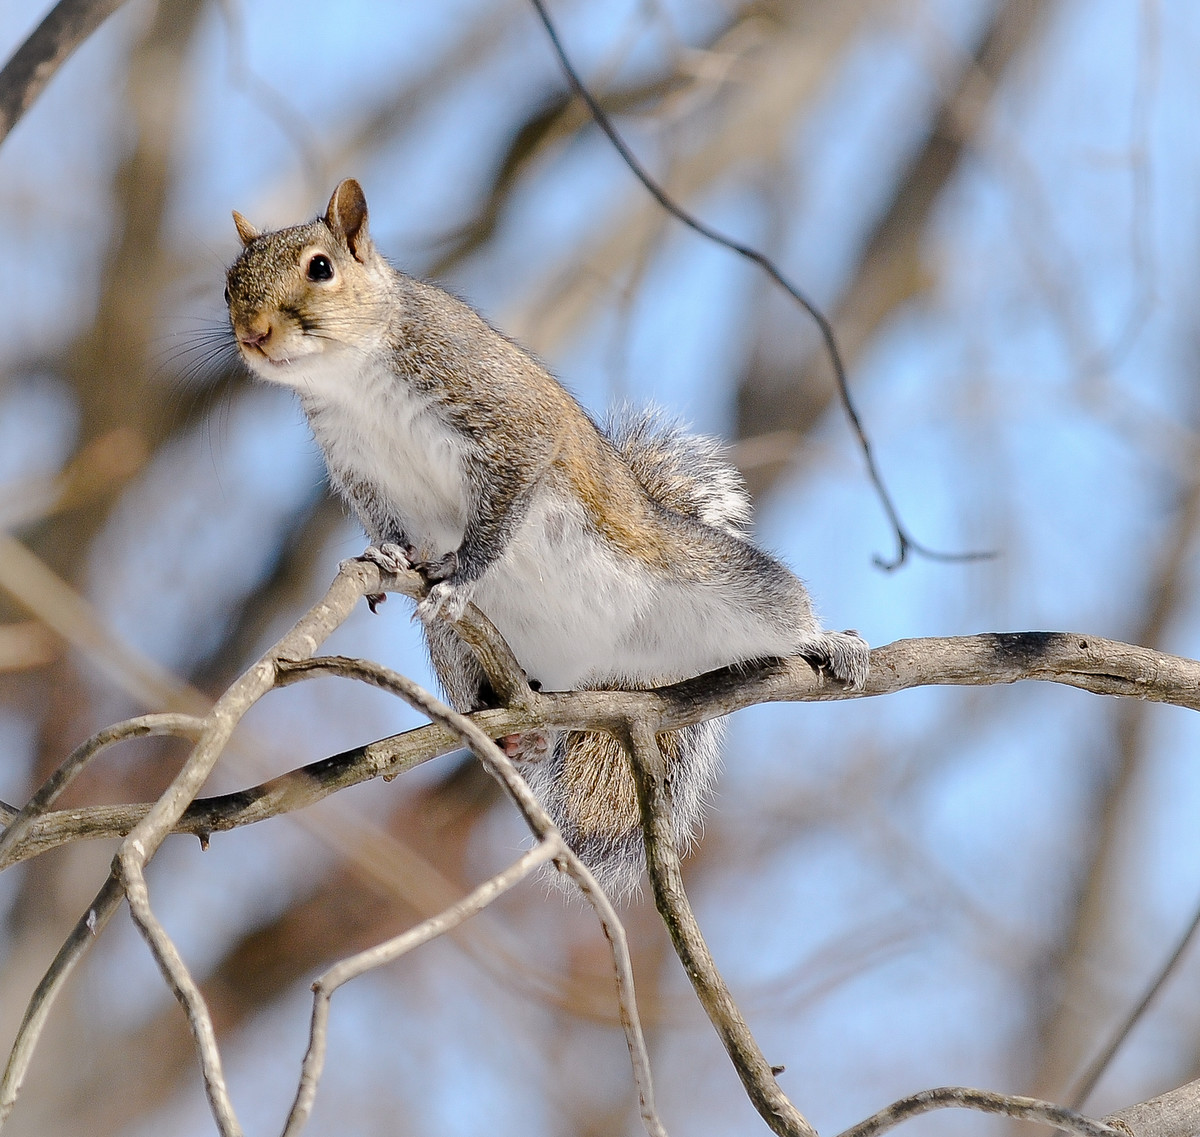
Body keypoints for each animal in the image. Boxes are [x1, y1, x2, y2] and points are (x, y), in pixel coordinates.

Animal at [223, 179, 864, 897]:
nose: (252, 333)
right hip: (458, 651)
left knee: (780, 613)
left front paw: (466, 571)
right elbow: (382, 522)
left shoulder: (505, 418)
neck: (352, 377)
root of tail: (598, 668)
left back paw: (827, 640)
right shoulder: (356, 468)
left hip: (721, 585)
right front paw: (385, 553)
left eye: (321, 268)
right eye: (228, 284)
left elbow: (503, 506)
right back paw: (512, 731)